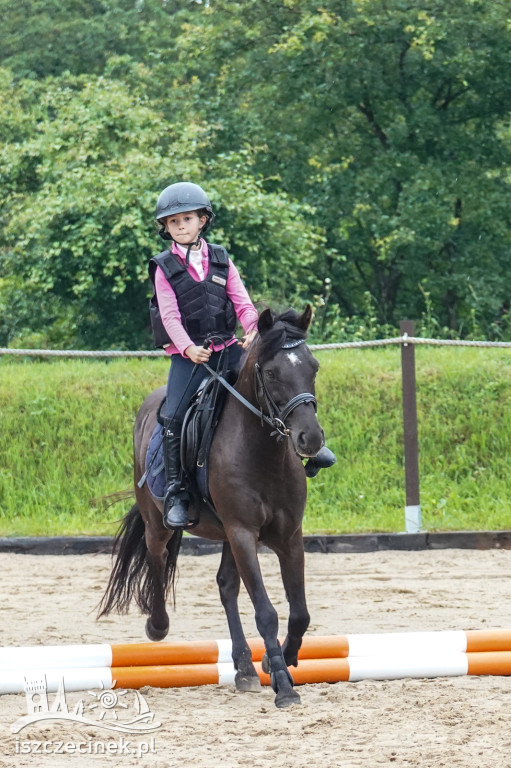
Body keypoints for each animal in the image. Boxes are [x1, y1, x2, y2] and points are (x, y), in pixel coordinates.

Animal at [98, 306, 326, 708]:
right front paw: (283, 685)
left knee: (225, 586)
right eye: (271, 373)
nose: (310, 439)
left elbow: (299, 613)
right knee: (157, 560)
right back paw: (157, 626)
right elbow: (266, 612)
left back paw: (245, 667)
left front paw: (276, 660)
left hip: (225, 534)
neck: (263, 453)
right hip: (161, 522)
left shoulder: (288, 536)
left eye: (312, 367)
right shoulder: (243, 533)